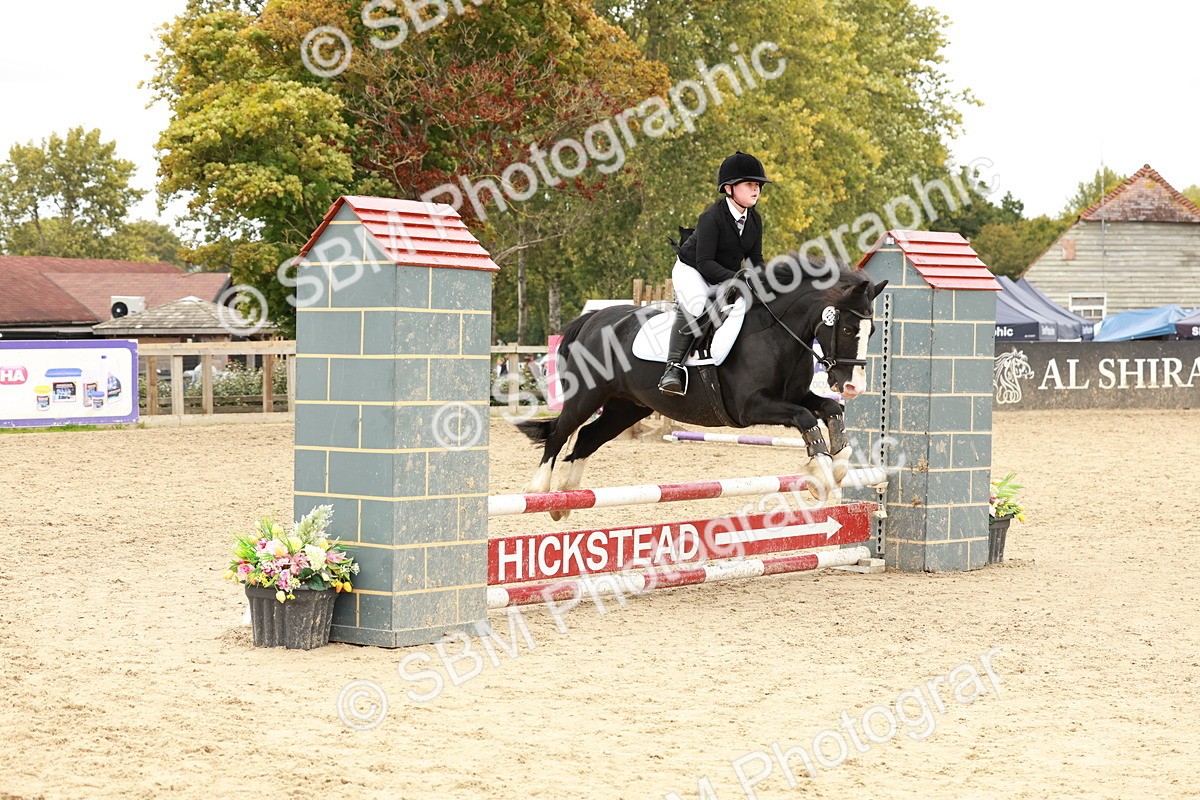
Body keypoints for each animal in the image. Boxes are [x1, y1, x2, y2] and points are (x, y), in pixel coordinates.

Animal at [517, 256, 888, 521]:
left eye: (871, 331)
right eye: (848, 328)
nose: (853, 386)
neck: (777, 331)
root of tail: (593, 319)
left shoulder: (794, 396)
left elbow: (830, 409)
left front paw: (836, 466)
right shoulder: (752, 406)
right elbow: (805, 419)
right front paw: (821, 473)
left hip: (628, 406)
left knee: (587, 437)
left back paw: (565, 500)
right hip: (586, 395)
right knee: (561, 433)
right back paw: (539, 490)